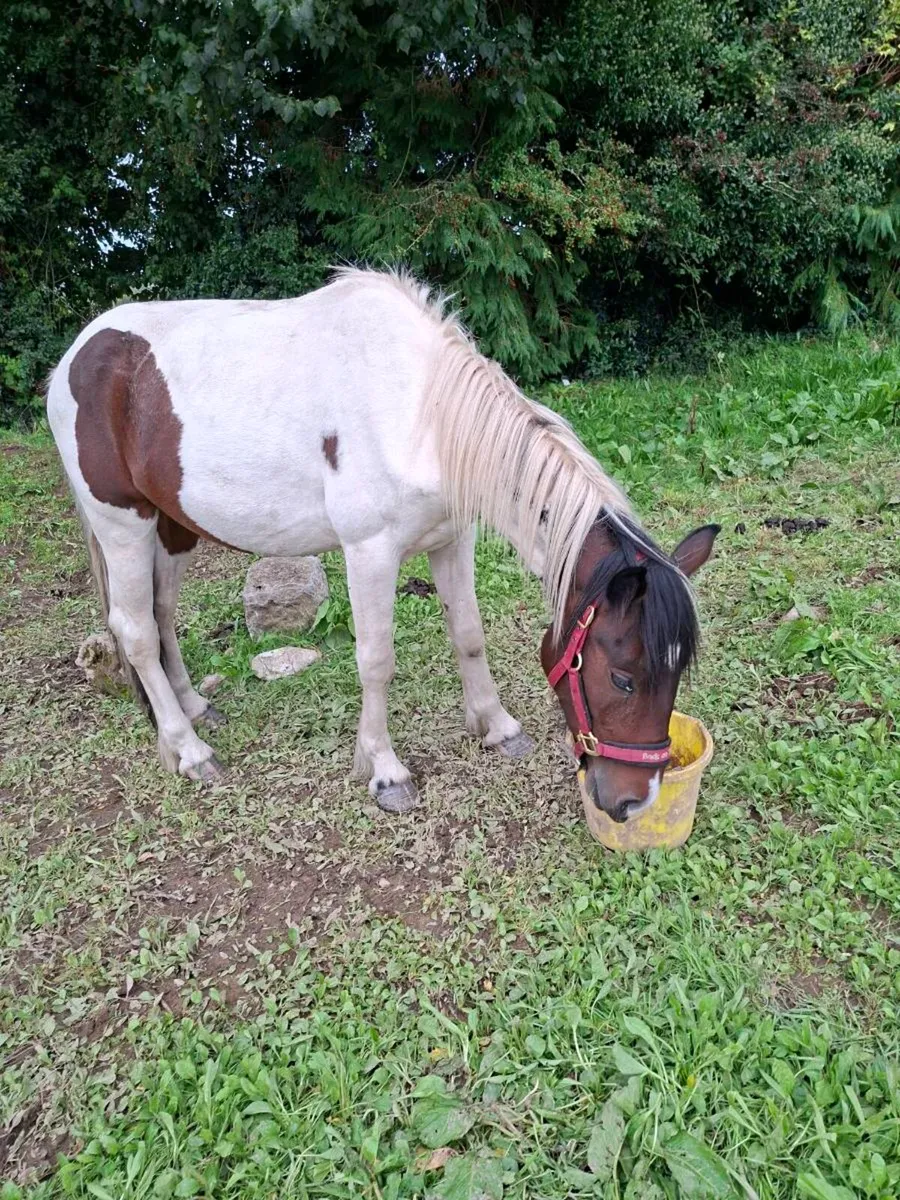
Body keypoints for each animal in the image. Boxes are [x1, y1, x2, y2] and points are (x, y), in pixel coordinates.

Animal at [47, 268, 719, 819]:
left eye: (676, 674)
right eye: (624, 678)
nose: (634, 802)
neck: (422, 414)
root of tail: (74, 356)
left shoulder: (451, 539)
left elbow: (468, 634)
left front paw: (497, 727)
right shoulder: (369, 553)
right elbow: (376, 660)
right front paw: (385, 771)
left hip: (171, 523)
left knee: (161, 615)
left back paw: (191, 709)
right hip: (123, 524)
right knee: (135, 631)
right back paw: (189, 751)